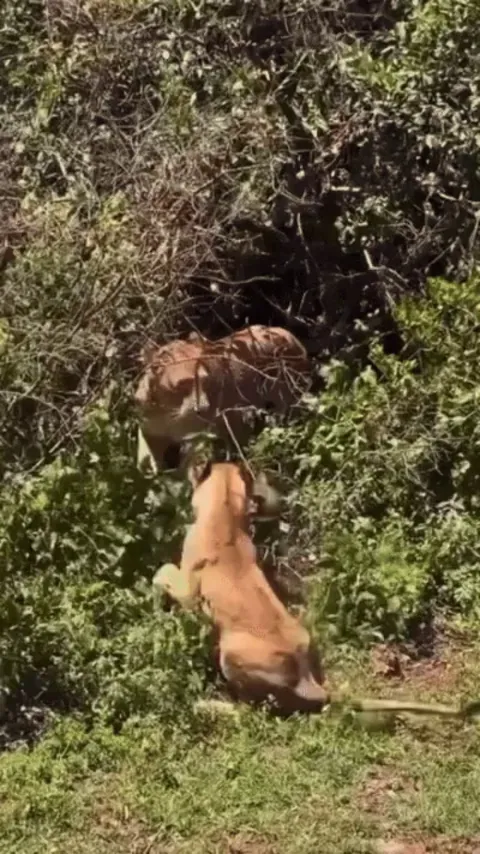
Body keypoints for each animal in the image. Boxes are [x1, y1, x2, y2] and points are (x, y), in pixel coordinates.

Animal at [134, 325, 311, 472]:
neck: (168, 409)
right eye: (183, 384)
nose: (204, 408)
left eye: (204, 380)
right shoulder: (151, 435)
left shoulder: (197, 440)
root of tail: (286, 333)